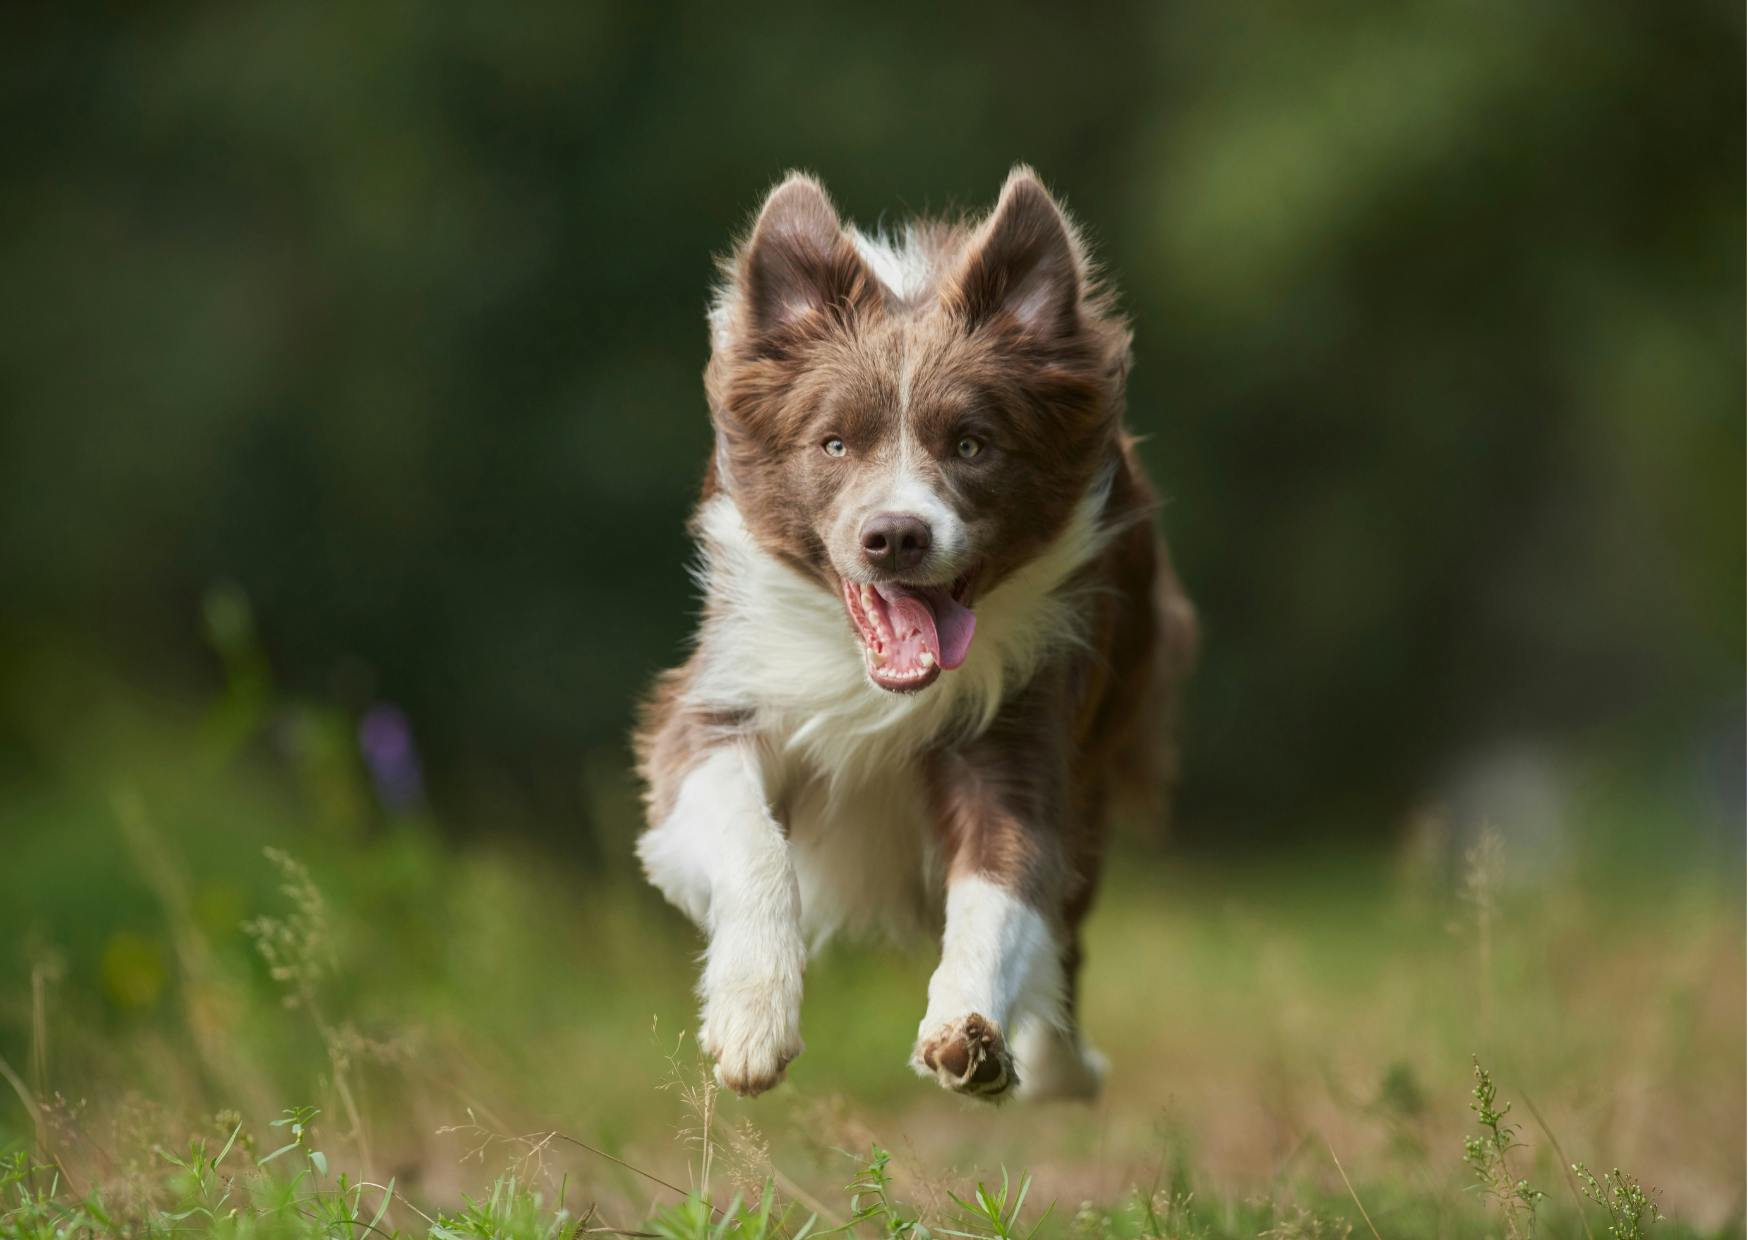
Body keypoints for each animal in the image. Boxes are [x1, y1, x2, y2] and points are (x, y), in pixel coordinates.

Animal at [636, 167, 1195, 1105]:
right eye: (833, 443)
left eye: (971, 444)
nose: (895, 536)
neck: (875, 684)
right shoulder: (716, 706)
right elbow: (755, 845)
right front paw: (751, 1022)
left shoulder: (1022, 729)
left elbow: (1002, 889)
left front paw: (970, 1032)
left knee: (1067, 927)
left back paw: (1060, 1070)